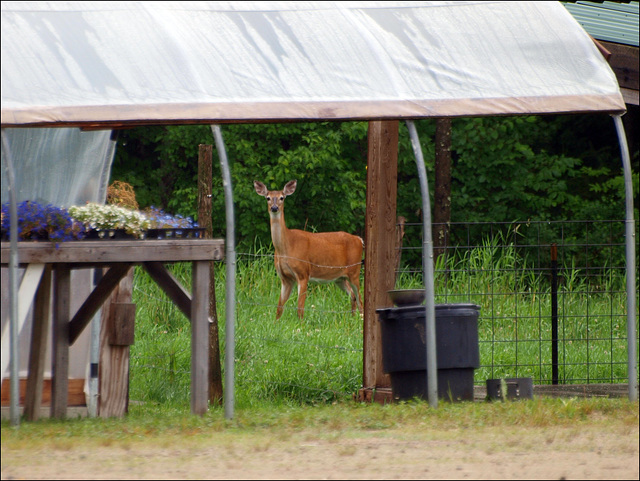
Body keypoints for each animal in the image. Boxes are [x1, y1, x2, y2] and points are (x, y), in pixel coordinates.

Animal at [255, 179, 364, 318]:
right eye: (268, 198)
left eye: (282, 197)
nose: (274, 208)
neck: (286, 247)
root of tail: (359, 239)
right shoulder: (285, 278)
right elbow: (279, 307)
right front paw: (276, 322)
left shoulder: (303, 273)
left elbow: (300, 308)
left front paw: (300, 323)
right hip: (340, 278)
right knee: (353, 296)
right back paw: (352, 317)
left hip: (354, 271)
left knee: (360, 298)